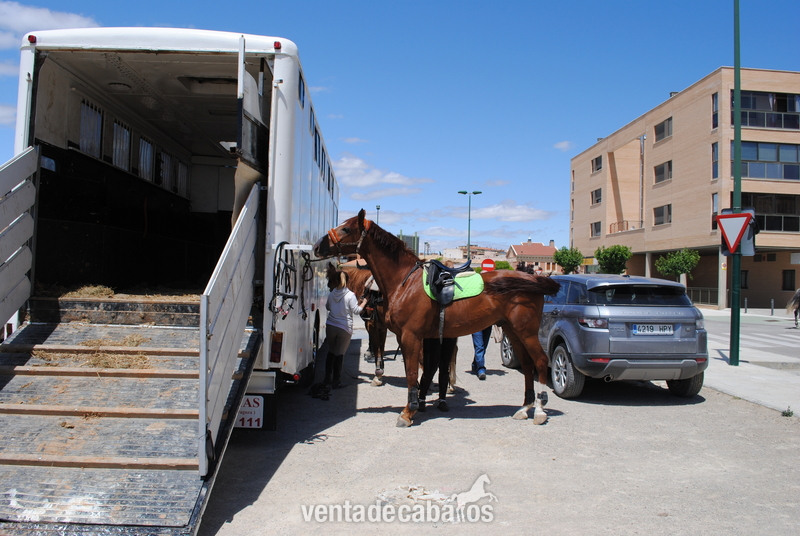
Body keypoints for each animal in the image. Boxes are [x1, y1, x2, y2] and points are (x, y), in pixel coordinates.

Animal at [313, 209, 560, 427]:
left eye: (346, 228)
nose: (316, 246)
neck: (404, 283)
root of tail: (533, 279)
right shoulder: (404, 336)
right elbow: (413, 370)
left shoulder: (409, 336)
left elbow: (411, 372)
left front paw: (408, 412)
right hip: (512, 330)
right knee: (527, 365)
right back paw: (524, 408)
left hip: (526, 332)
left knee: (540, 362)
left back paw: (539, 410)